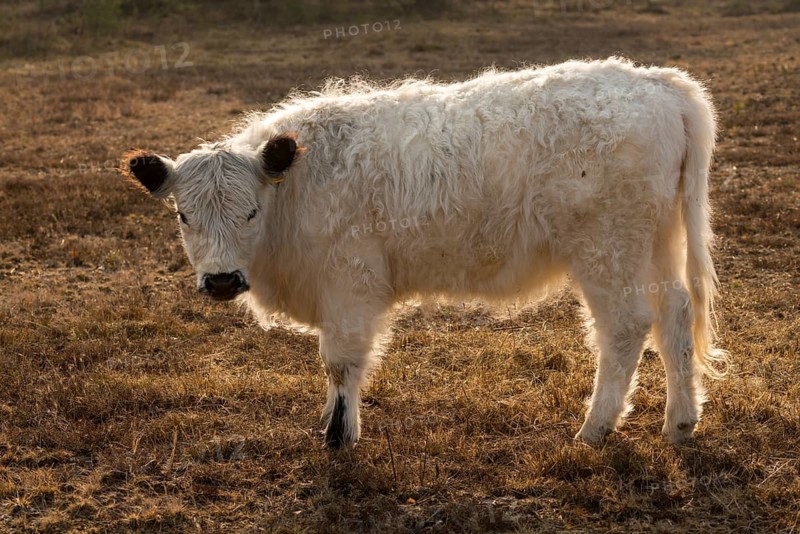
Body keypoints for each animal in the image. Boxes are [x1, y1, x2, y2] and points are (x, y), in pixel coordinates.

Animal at [123, 57, 727, 449]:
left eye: (250, 213)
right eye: (183, 216)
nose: (222, 280)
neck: (298, 185)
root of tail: (656, 82)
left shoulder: (350, 287)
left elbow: (341, 362)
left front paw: (339, 436)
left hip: (608, 252)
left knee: (625, 328)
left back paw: (595, 429)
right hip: (654, 244)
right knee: (675, 314)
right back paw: (680, 424)